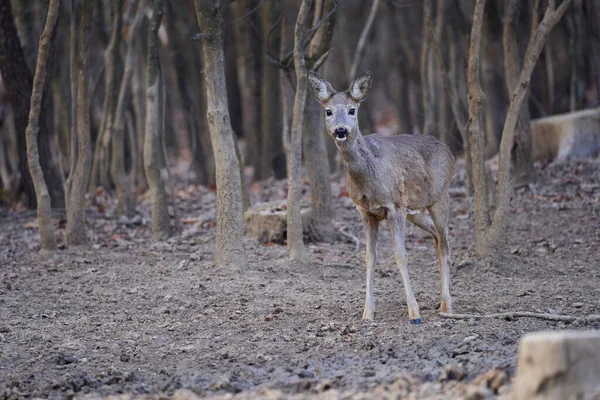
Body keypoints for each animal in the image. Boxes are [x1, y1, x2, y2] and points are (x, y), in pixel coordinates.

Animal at [310, 72, 454, 324]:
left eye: (352, 110)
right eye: (328, 111)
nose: (341, 130)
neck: (370, 179)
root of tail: (450, 152)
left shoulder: (395, 207)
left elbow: (401, 256)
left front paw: (414, 314)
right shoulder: (366, 212)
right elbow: (370, 258)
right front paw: (367, 313)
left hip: (440, 197)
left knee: (445, 242)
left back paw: (446, 305)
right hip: (415, 210)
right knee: (438, 238)